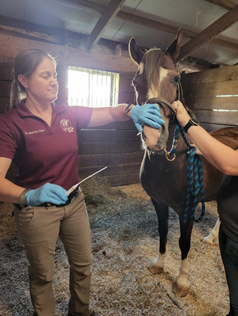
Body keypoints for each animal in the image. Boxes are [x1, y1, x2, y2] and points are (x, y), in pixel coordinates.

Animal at [129, 29, 238, 296]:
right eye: (136, 82)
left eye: (175, 79)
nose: (153, 137)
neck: (170, 164)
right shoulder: (158, 202)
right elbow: (163, 232)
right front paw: (158, 264)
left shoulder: (187, 210)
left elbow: (183, 242)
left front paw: (181, 280)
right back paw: (210, 238)